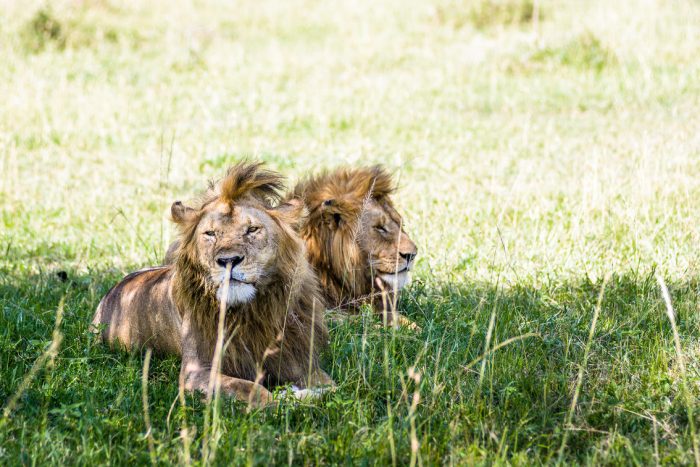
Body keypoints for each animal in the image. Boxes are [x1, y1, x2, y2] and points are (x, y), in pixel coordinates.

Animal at [92, 163, 334, 408]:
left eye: (252, 230)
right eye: (210, 233)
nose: (228, 260)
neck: (249, 312)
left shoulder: (298, 361)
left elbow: (331, 386)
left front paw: (310, 394)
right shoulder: (195, 371)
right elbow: (251, 388)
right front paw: (282, 400)